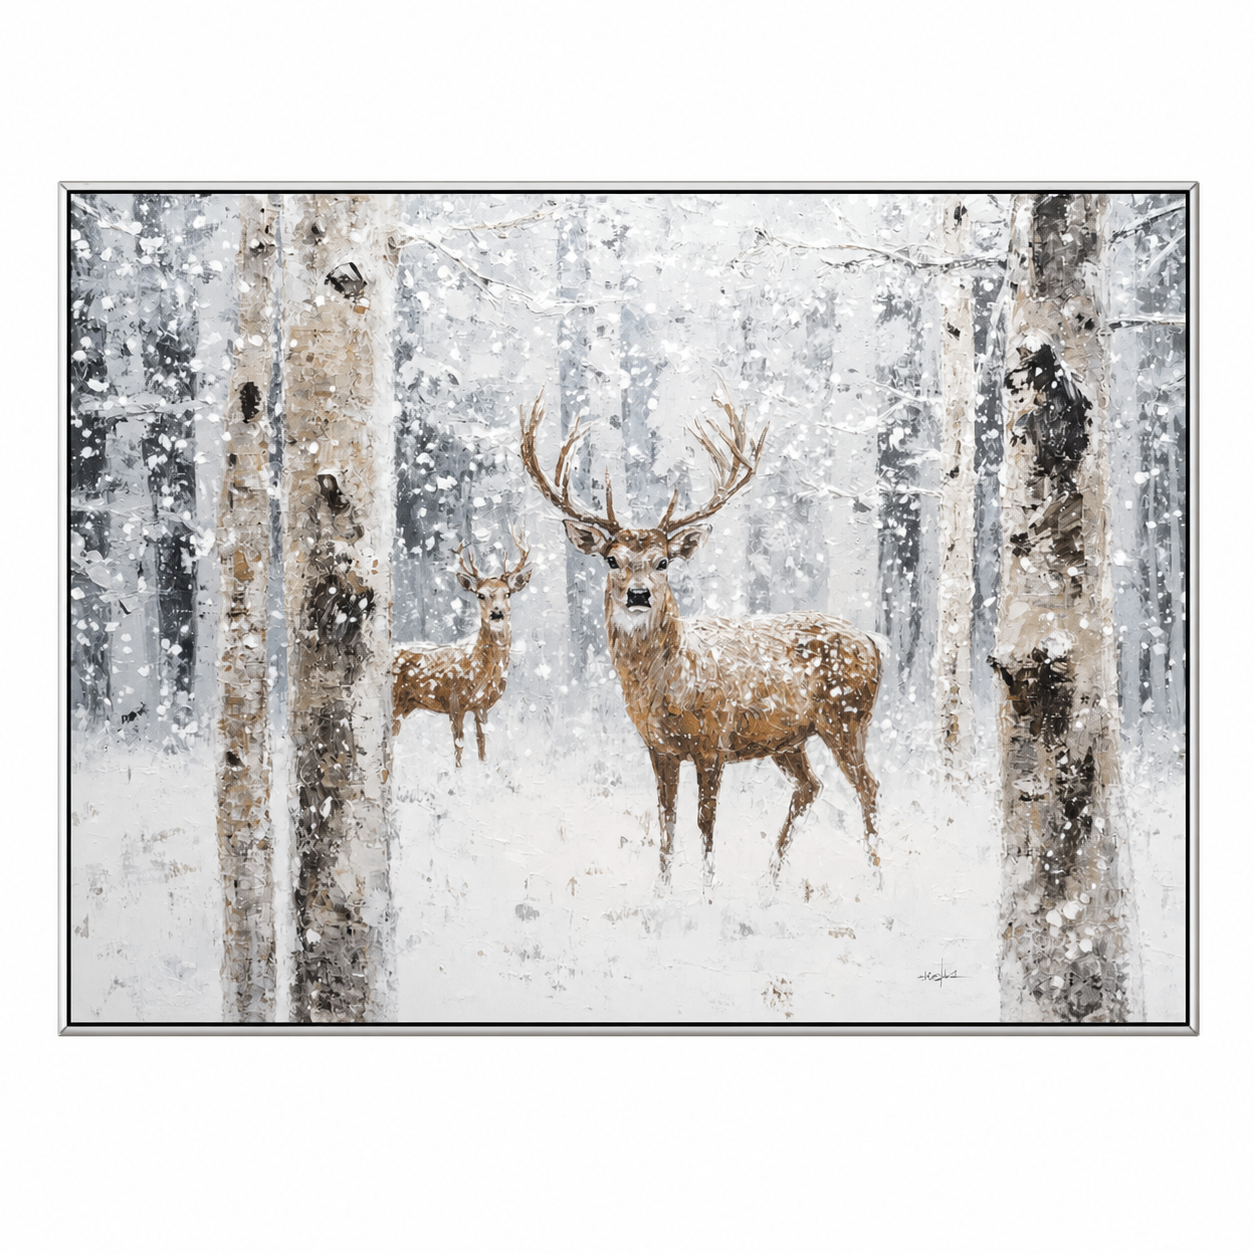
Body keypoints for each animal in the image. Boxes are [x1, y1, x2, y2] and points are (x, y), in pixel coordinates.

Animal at [392, 530, 532, 767]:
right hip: (393, 701)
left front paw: (483, 769)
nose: (497, 613)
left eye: (508, 593)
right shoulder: (454, 701)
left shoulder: (482, 706)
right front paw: (458, 772)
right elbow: (458, 745)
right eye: (480, 594)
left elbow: (482, 742)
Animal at [520, 388, 882, 887]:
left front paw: (707, 891)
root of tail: (873, 643)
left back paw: (876, 877)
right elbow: (666, 820)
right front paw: (663, 890)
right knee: (811, 785)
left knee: (868, 785)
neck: (665, 685)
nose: (638, 594)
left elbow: (705, 820)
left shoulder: (714, 741)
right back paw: (769, 882)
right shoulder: (659, 748)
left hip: (846, 717)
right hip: (790, 738)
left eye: (663, 561)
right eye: (612, 559)